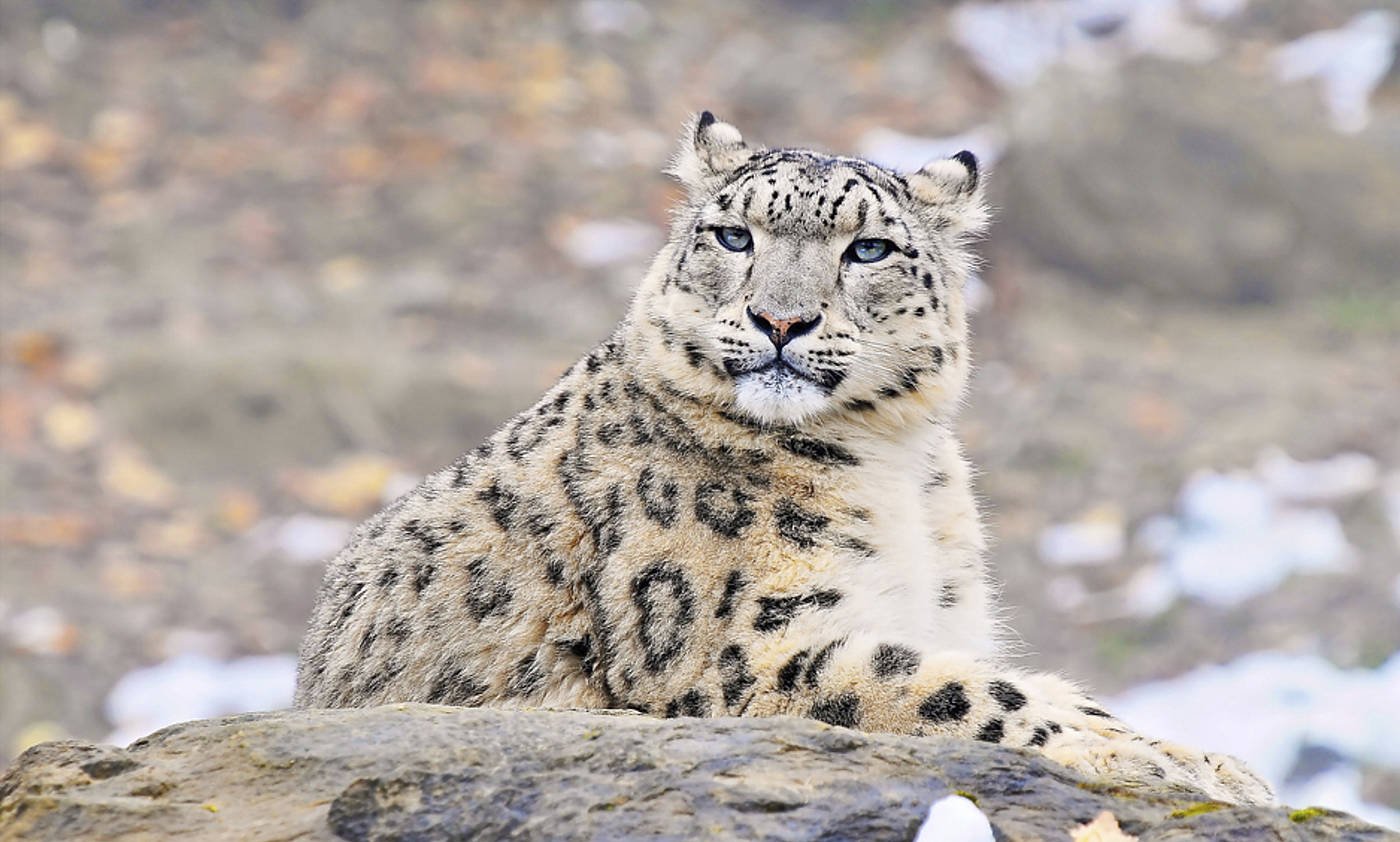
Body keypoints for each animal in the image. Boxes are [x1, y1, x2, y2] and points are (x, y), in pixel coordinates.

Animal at [294, 113, 1275, 805]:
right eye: (735, 236)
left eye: (868, 248)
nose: (780, 320)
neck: (895, 469)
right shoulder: (738, 655)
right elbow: (963, 690)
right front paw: (1163, 763)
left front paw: (1210, 762)